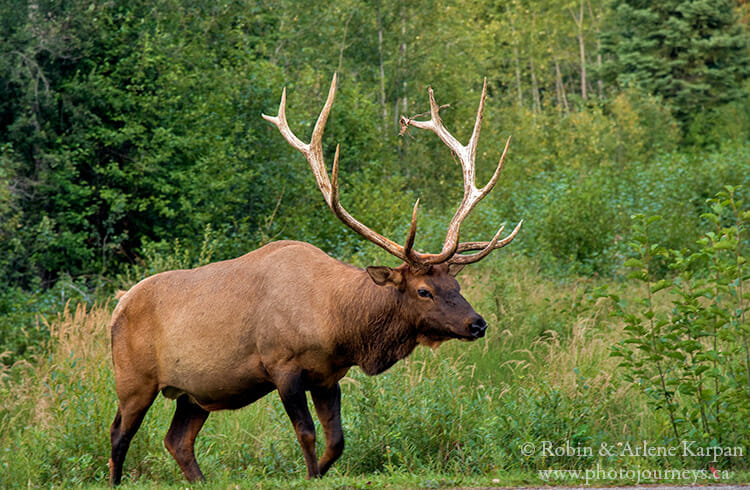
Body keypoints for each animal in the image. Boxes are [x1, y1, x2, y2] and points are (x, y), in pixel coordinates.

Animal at [110, 74, 524, 484]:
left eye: (456, 286)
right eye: (424, 291)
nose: (477, 323)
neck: (338, 325)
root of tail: (118, 306)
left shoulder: (328, 375)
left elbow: (336, 439)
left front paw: (321, 472)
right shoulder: (282, 365)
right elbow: (306, 433)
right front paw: (310, 474)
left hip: (194, 393)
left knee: (177, 440)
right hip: (133, 379)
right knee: (120, 432)